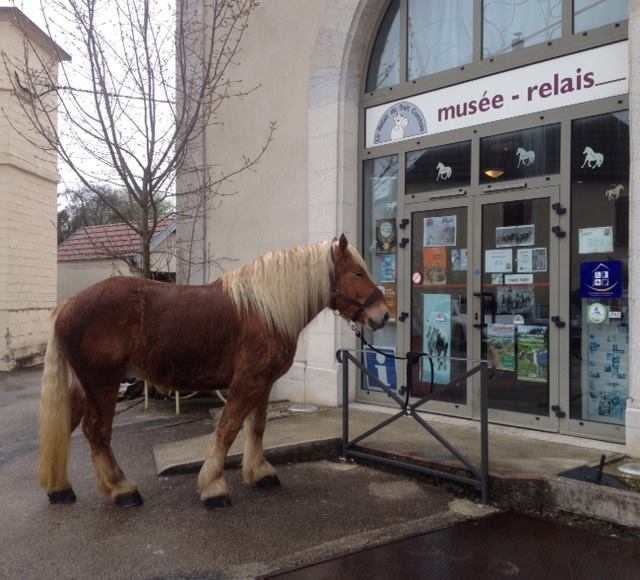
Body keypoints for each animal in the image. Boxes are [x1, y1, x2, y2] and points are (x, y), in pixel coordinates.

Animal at [37, 235, 390, 509]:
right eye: (358, 272)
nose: (383, 315)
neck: (265, 310)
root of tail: (65, 306)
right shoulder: (246, 382)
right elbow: (228, 429)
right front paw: (213, 487)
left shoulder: (264, 384)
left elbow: (256, 428)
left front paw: (259, 472)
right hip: (103, 385)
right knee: (96, 432)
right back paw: (122, 490)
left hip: (86, 386)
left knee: (71, 424)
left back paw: (61, 489)